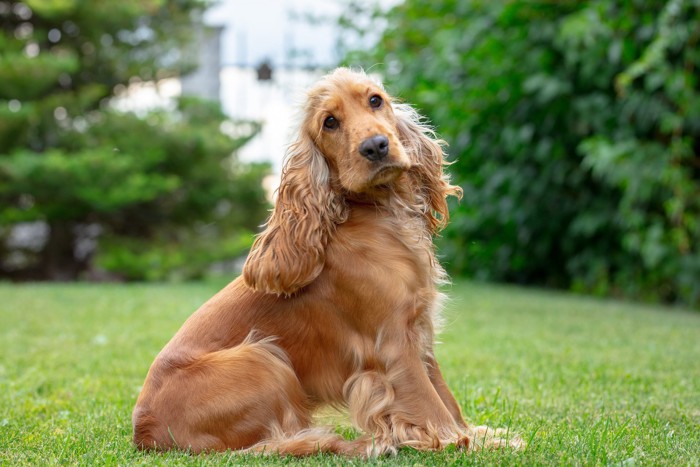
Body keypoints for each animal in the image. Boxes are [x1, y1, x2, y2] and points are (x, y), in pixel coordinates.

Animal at [134, 66, 524, 458]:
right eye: (330, 122)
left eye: (375, 100)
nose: (376, 146)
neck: (378, 213)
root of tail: (144, 433)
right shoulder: (394, 344)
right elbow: (431, 405)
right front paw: (463, 443)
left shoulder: (419, 330)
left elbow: (446, 398)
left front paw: (481, 435)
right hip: (264, 358)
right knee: (281, 440)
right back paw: (366, 443)